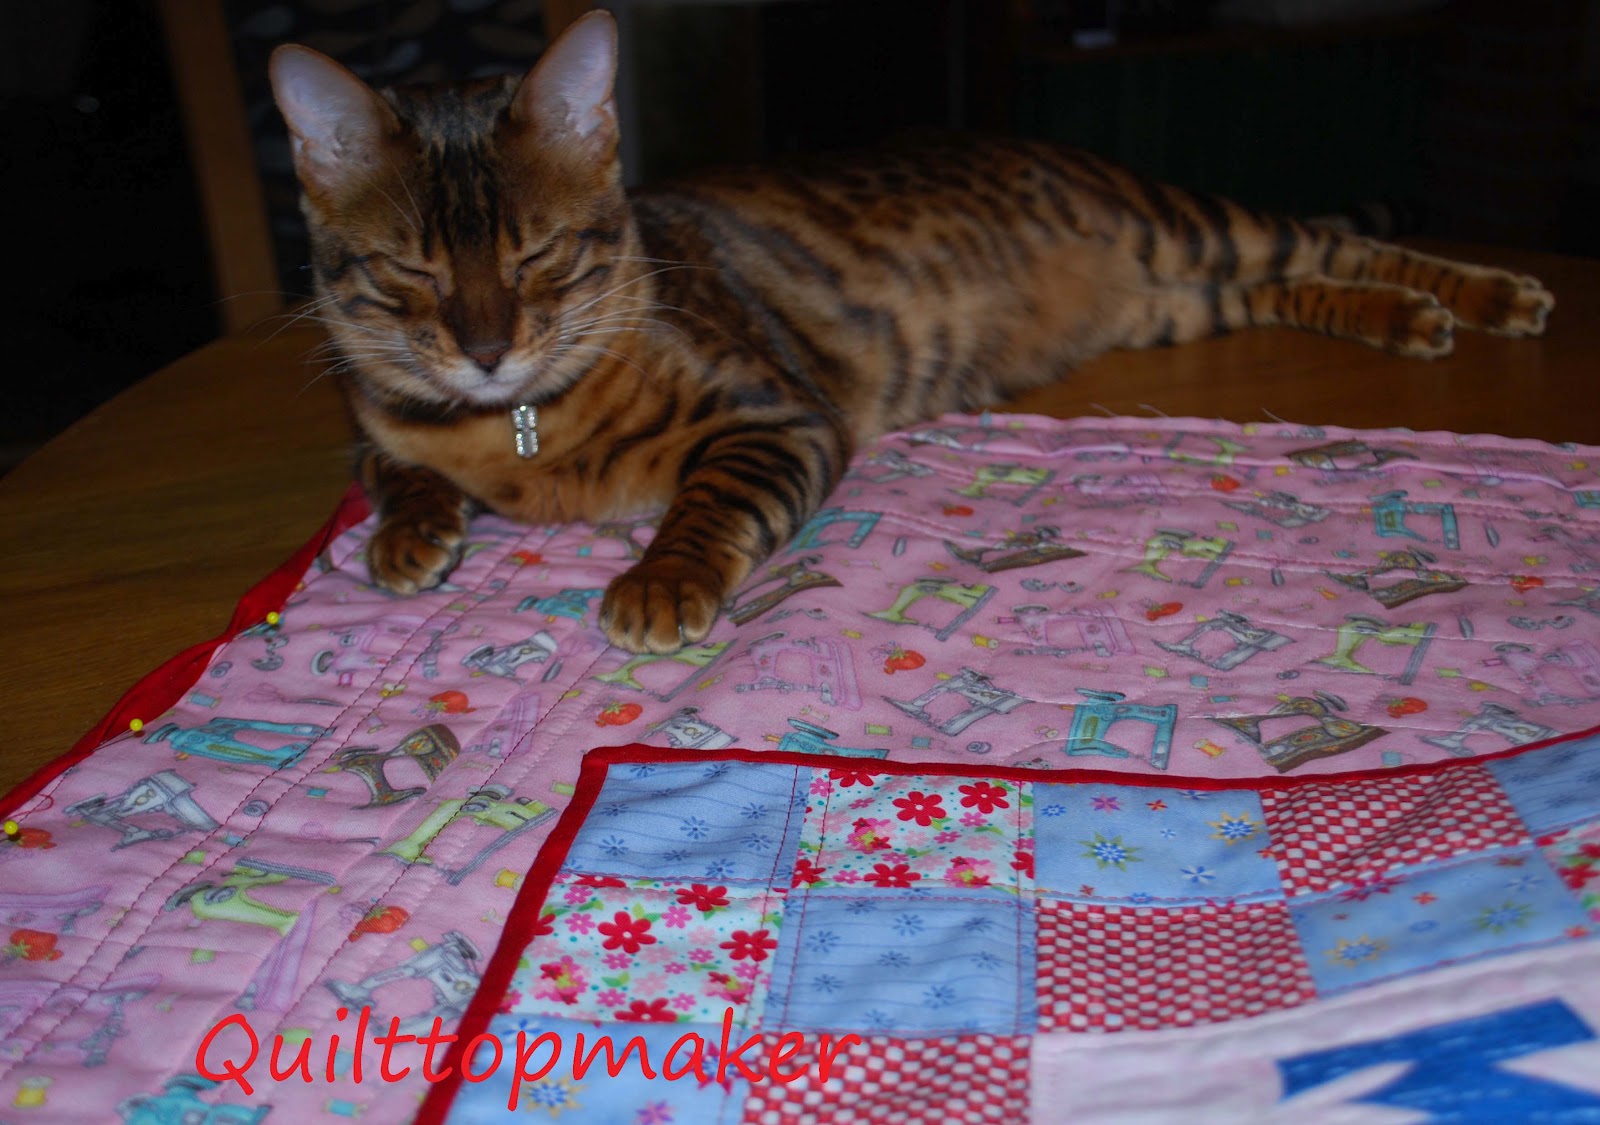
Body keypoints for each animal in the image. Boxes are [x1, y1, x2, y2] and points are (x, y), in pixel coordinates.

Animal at [269, 11, 1553, 655]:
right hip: (1182, 293)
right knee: (1304, 281)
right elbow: (395, 472)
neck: (519, 432)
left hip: (1186, 229)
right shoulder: (378, 422)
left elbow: (705, 505)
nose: (487, 348)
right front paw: (411, 534)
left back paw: (1478, 297)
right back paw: (1408, 315)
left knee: (1338, 244)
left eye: (537, 253)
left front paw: (658, 581)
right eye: (410, 270)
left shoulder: (772, 411)